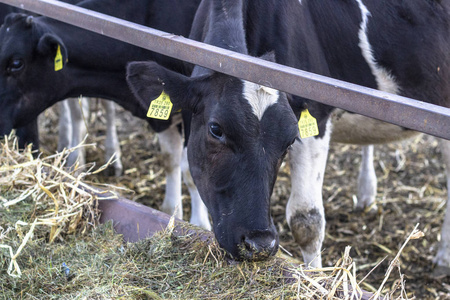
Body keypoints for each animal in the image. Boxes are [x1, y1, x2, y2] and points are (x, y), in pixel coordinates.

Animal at [0, 0, 213, 230]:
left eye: (16, 63)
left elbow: (192, 170)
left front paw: (200, 224)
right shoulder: (158, 111)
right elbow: (169, 159)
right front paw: (171, 212)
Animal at [125, 0, 450, 272]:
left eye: (290, 138)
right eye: (216, 129)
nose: (259, 244)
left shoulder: (315, 113)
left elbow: (306, 221)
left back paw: (443, 257)